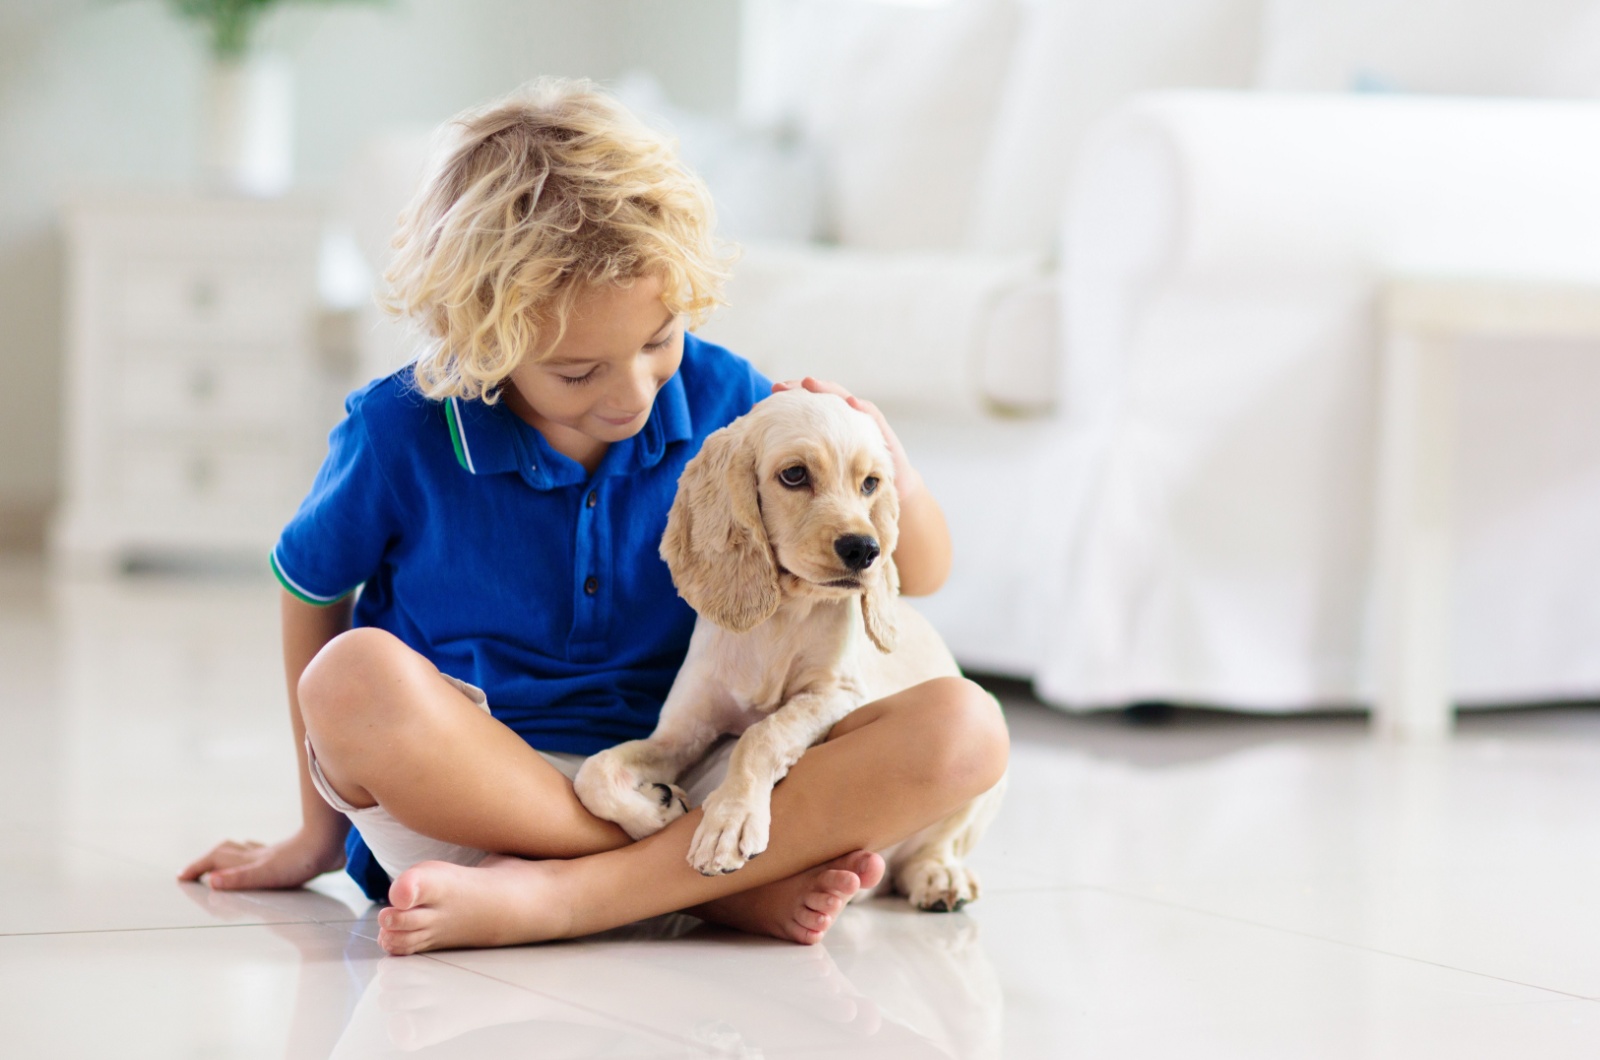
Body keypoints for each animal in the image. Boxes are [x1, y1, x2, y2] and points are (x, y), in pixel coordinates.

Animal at [572, 390, 998, 915]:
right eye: (794, 475)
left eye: (871, 483)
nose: (865, 550)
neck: (784, 615)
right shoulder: (680, 732)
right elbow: (592, 773)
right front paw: (656, 811)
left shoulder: (838, 694)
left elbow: (763, 733)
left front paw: (729, 822)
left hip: (984, 749)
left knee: (939, 842)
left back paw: (938, 877)